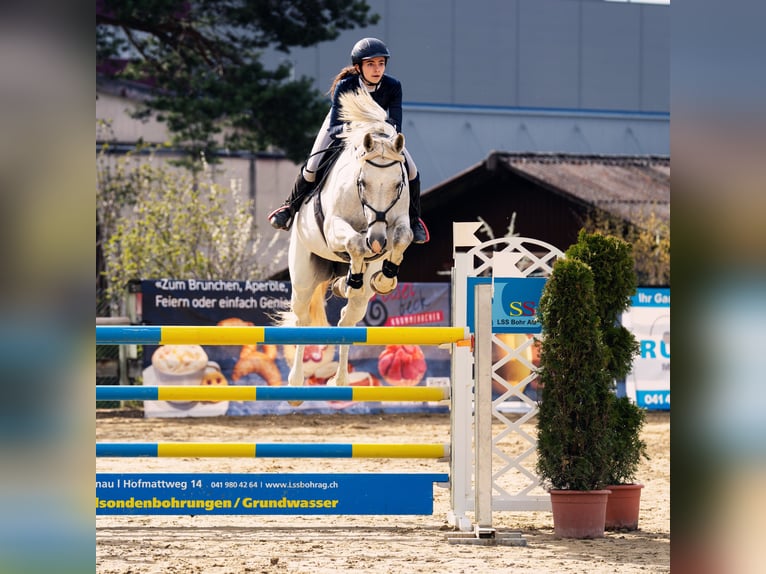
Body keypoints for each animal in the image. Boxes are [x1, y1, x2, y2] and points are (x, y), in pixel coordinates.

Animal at [284, 88, 413, 388]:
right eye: (362, 182)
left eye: (397, 185)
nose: (377, 242)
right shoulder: (334, 229)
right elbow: (354, 242)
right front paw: (353, 275)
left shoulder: (398, 223)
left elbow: (403, 237)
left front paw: (385, 278)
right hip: (303, 278)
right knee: (302, 319)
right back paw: (296, 380)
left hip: (360, 299)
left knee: (347, 320)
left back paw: (340, 380)